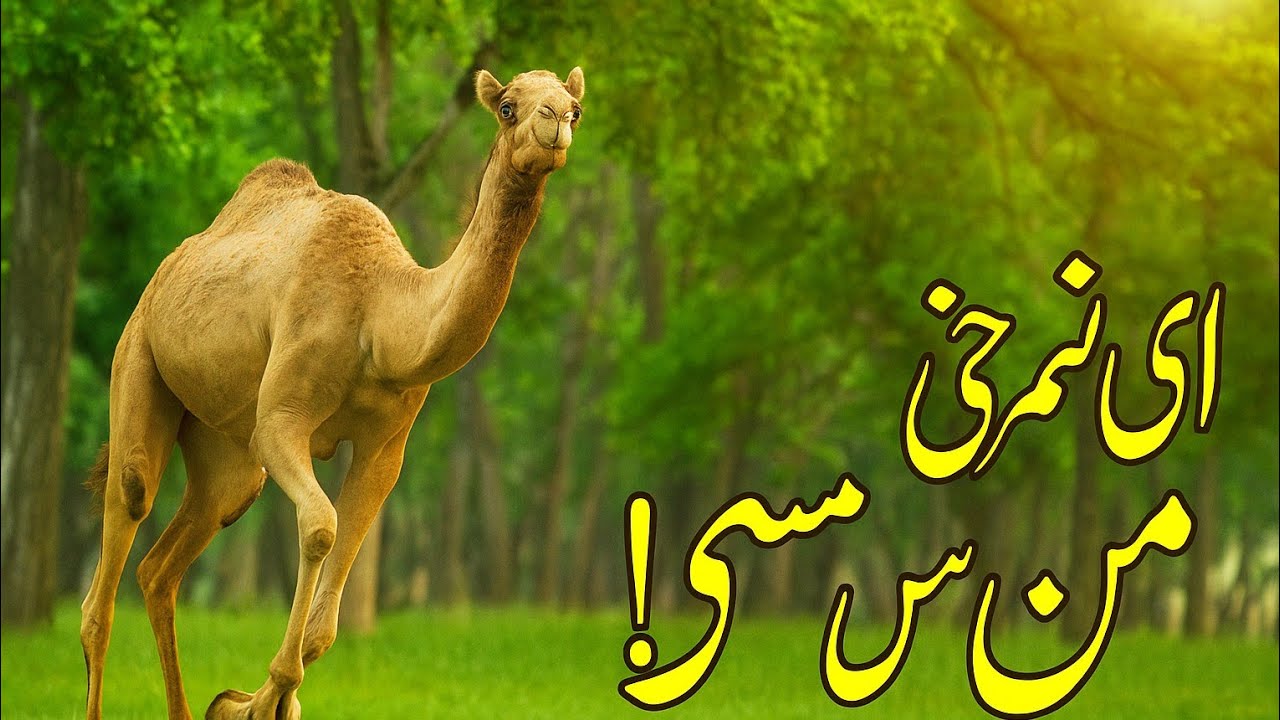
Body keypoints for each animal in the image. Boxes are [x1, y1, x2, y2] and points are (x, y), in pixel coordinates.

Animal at [79, 66, 585, 720]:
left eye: (576, 107)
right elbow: (321, 525)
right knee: (122, 527)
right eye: (506, 106)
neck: (380, 318)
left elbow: (326, 617)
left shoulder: (386, 447)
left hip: (224, 449)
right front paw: (260, 699)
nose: (554, 121)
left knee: (166, 562)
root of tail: (167, 268)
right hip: (137, 355)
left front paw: (244, 702)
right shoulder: (282, 420)